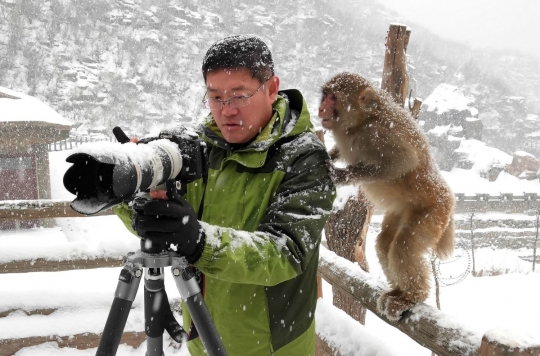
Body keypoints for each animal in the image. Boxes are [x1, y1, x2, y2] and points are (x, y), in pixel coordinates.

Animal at [320, 71, 456, 320]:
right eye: (324, 95)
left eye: (333, 98)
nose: (321, 108)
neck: (359, 121)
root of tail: (450, 200)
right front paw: (330, 154)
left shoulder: (378, 134)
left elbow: (402, 163)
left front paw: (342, 174)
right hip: (403, 210)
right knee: (385, 243)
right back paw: (398, 291)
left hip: (433, 212)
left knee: (404, 246)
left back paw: (411, 297)